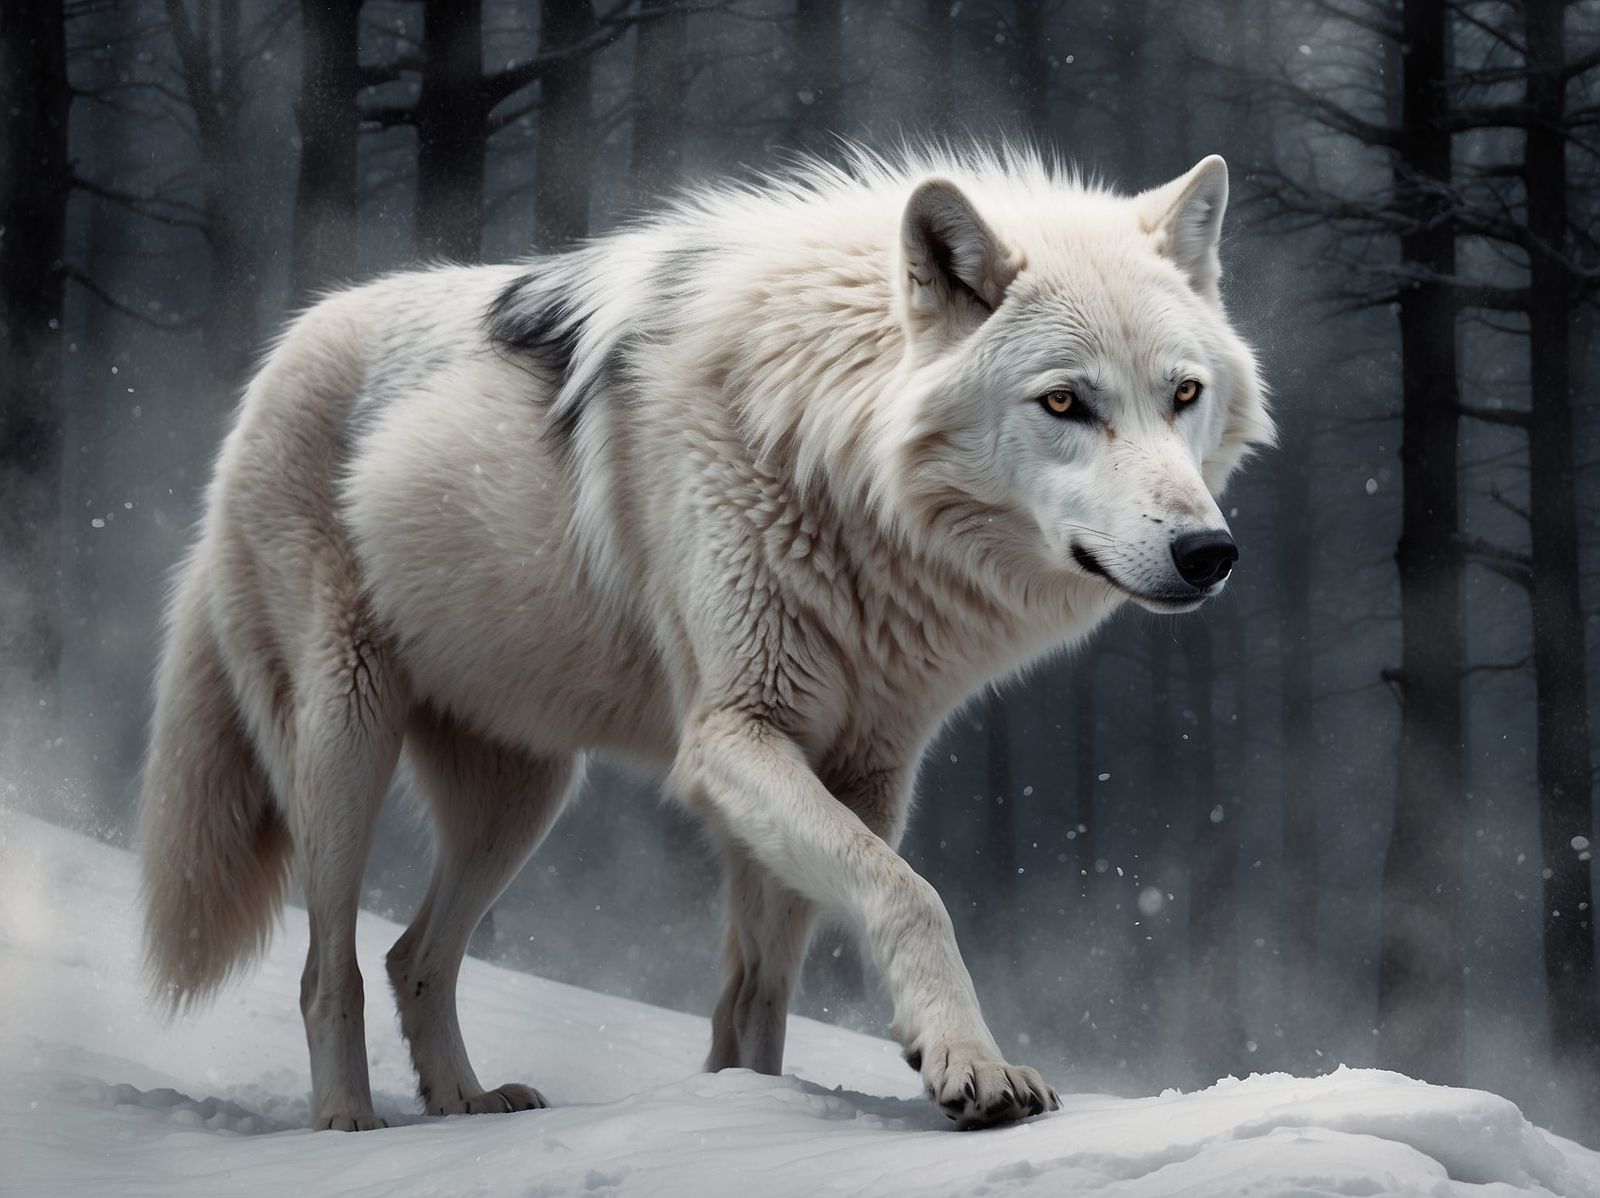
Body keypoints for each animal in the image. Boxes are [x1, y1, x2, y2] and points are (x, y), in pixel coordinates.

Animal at [138, 147, 1269, 1132]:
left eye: (1182, 393)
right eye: (1065, 402)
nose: (1209, 552)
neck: (827, 453)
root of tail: (270, 363)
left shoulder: (862, 770)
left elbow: (763, 988)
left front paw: (748, 1100)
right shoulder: (732, 738)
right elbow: (910, 894)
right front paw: (967, 1063)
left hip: (523, 794)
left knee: (415, 955)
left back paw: (464, 1102)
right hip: (345, 744)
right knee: (325, 964)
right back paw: (349, 1123)